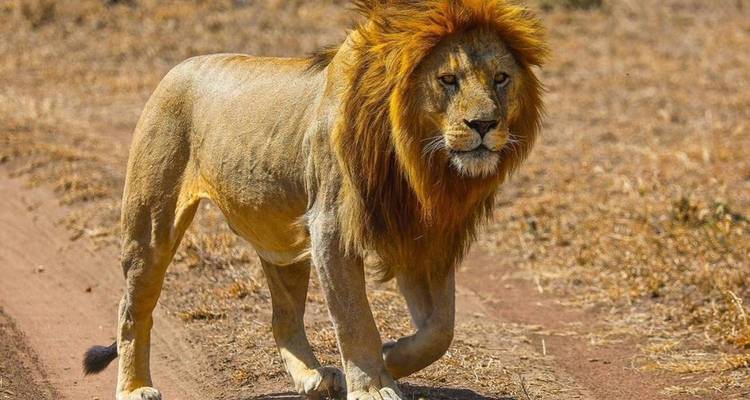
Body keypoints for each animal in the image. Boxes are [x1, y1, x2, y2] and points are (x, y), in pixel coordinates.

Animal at [82, 1, 548, 399]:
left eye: (501, 79)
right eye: (448, 80)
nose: (484, 124)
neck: (418, 160)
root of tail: (176, 68)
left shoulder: (421, 233)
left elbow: (441, 329)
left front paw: (391, 357)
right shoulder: (332, 228)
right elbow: (355, 317)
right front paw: (372, 383)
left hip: (281, 243)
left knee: (282, 319)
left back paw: (311, 376)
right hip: (151, 225)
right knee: (131, 308)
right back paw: (135, 386)